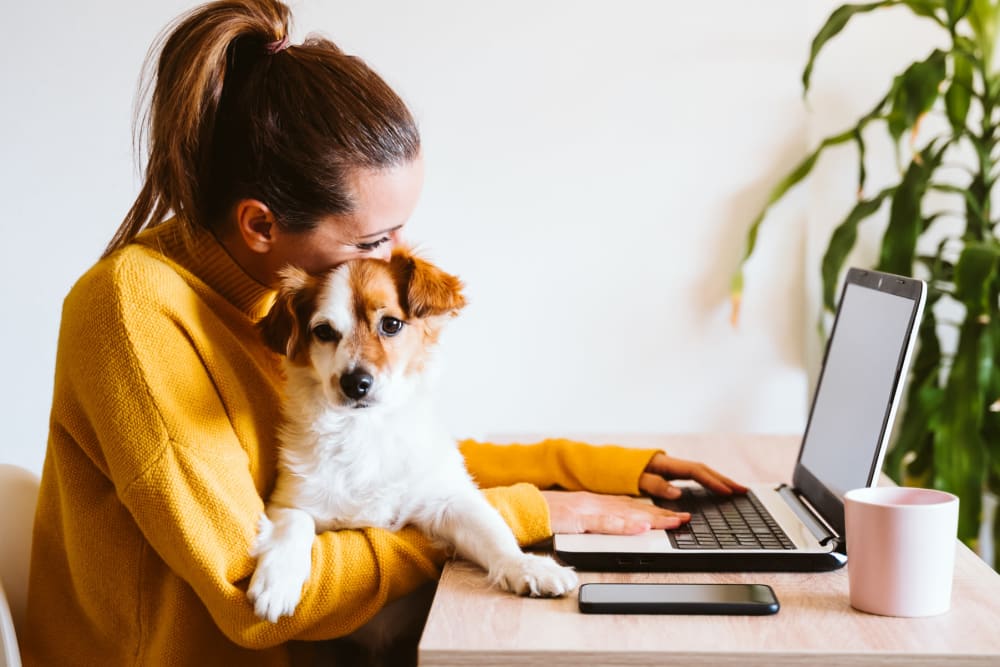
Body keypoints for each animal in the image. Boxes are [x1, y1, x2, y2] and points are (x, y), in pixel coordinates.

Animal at [246, 247, 580, 628]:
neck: (366, 431)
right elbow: (293, 525)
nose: (355, 383)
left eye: (391, 324)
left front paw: (527, 566)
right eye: (324, 331)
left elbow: (493, 532)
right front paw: (277, 580)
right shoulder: (289, 501)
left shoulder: (448, 500)